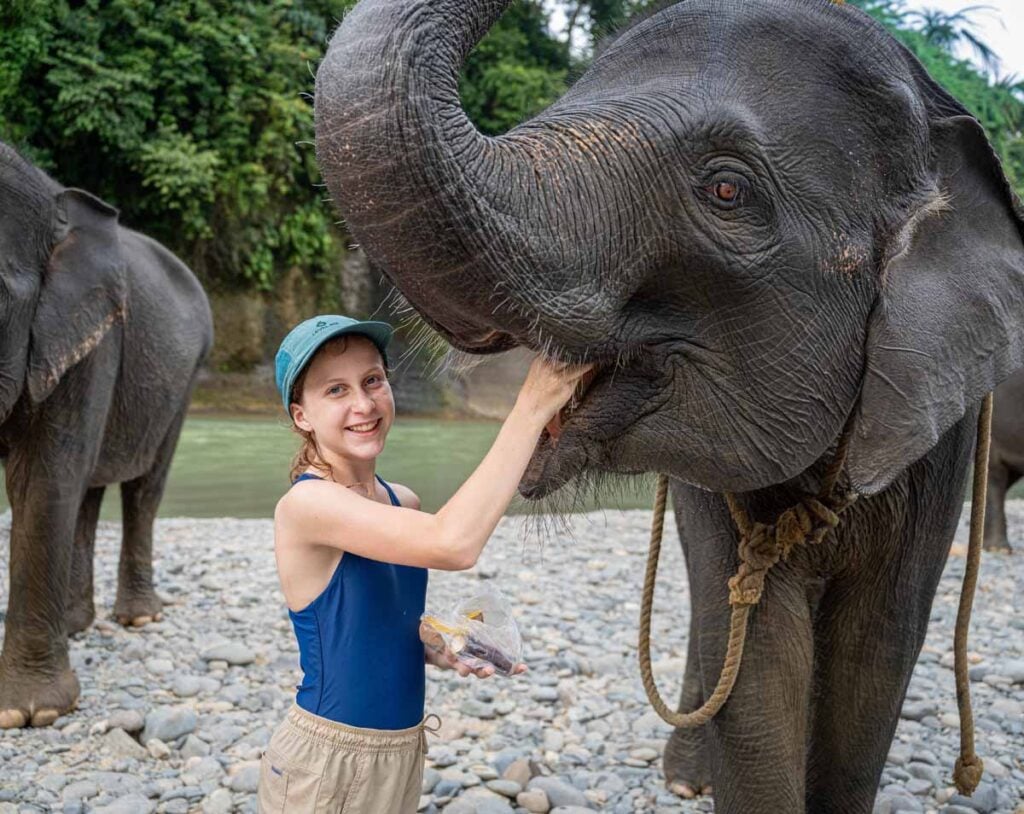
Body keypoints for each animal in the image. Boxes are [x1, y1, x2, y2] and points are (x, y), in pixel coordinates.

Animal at [0, 141, 213, 729]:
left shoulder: (87, 338)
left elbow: (42, 480)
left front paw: (29, 713)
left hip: (184, 381)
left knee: (141, 489)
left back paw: (136, 619)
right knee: (88, 494)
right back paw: (76, 623)